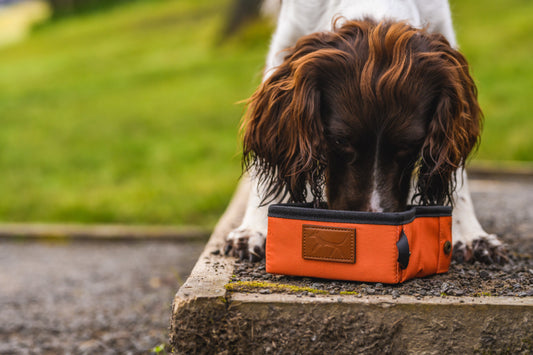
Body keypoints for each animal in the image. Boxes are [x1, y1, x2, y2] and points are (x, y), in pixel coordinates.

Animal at [222, 0, 504, 264]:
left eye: (411, 146)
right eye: (339, 140)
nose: (371, 223)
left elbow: (454, 171)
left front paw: (470, 234)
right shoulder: (287, 41)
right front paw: (254, 229)